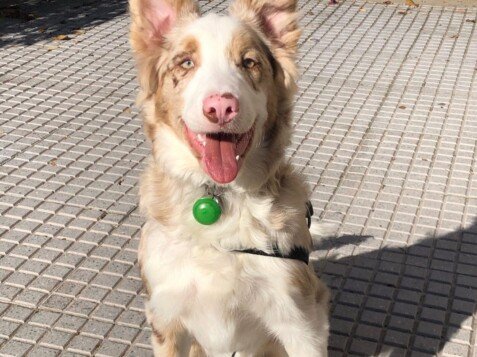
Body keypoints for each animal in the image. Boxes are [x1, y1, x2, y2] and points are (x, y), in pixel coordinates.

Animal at [129, 0, 330, 354]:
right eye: (186, 62)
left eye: (249, 62)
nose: (221, 107)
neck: (219, 198)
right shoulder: (166, 319)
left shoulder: (302, 322)